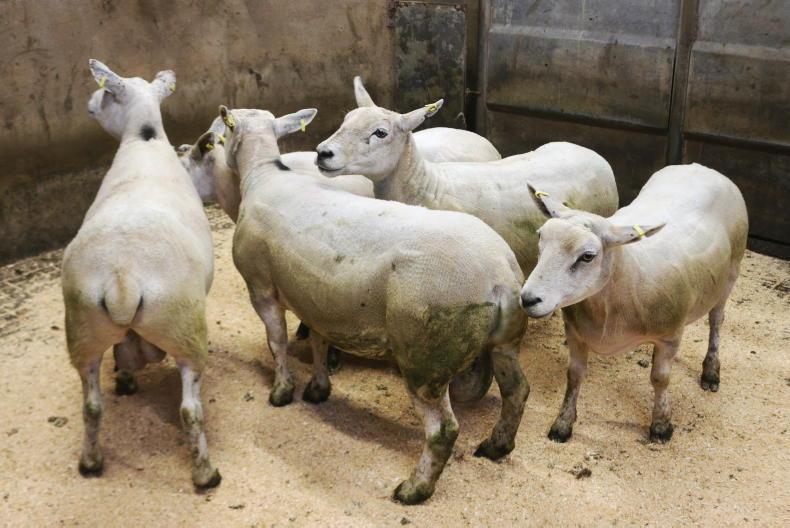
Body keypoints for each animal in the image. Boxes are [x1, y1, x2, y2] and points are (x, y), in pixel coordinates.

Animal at [62, 60, 220, 488]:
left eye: (107, 93)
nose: (88, 104)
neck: (143, 139)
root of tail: (122, 280)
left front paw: (126, 376)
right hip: (183, 329)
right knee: (190, 411)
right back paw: (206, 474)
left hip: (83, 332)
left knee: (91, 406)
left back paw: (90, 461)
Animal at [217, 104, 529, 504]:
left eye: (223, 132)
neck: (264, 174)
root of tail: (499, 274)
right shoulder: (317, 298)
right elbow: (318, 342)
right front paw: (318, 387)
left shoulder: (261, 288)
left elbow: (278, 343)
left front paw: (281, 391)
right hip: (505, 340)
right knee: (517, 391)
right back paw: (497, 446)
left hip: (423, 357)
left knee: (443, 429)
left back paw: (415, 488)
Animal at [519, 164, 748, 442]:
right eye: (540, 238)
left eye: (587, 256)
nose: (528, 298)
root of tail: (702, 168)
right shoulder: (576, 333)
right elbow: (574, 376)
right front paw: (562, 424)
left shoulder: (669, 336)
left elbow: (660, 379)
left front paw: (661, 425)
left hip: (730, 275)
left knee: (716, 321)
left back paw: (711, 371)